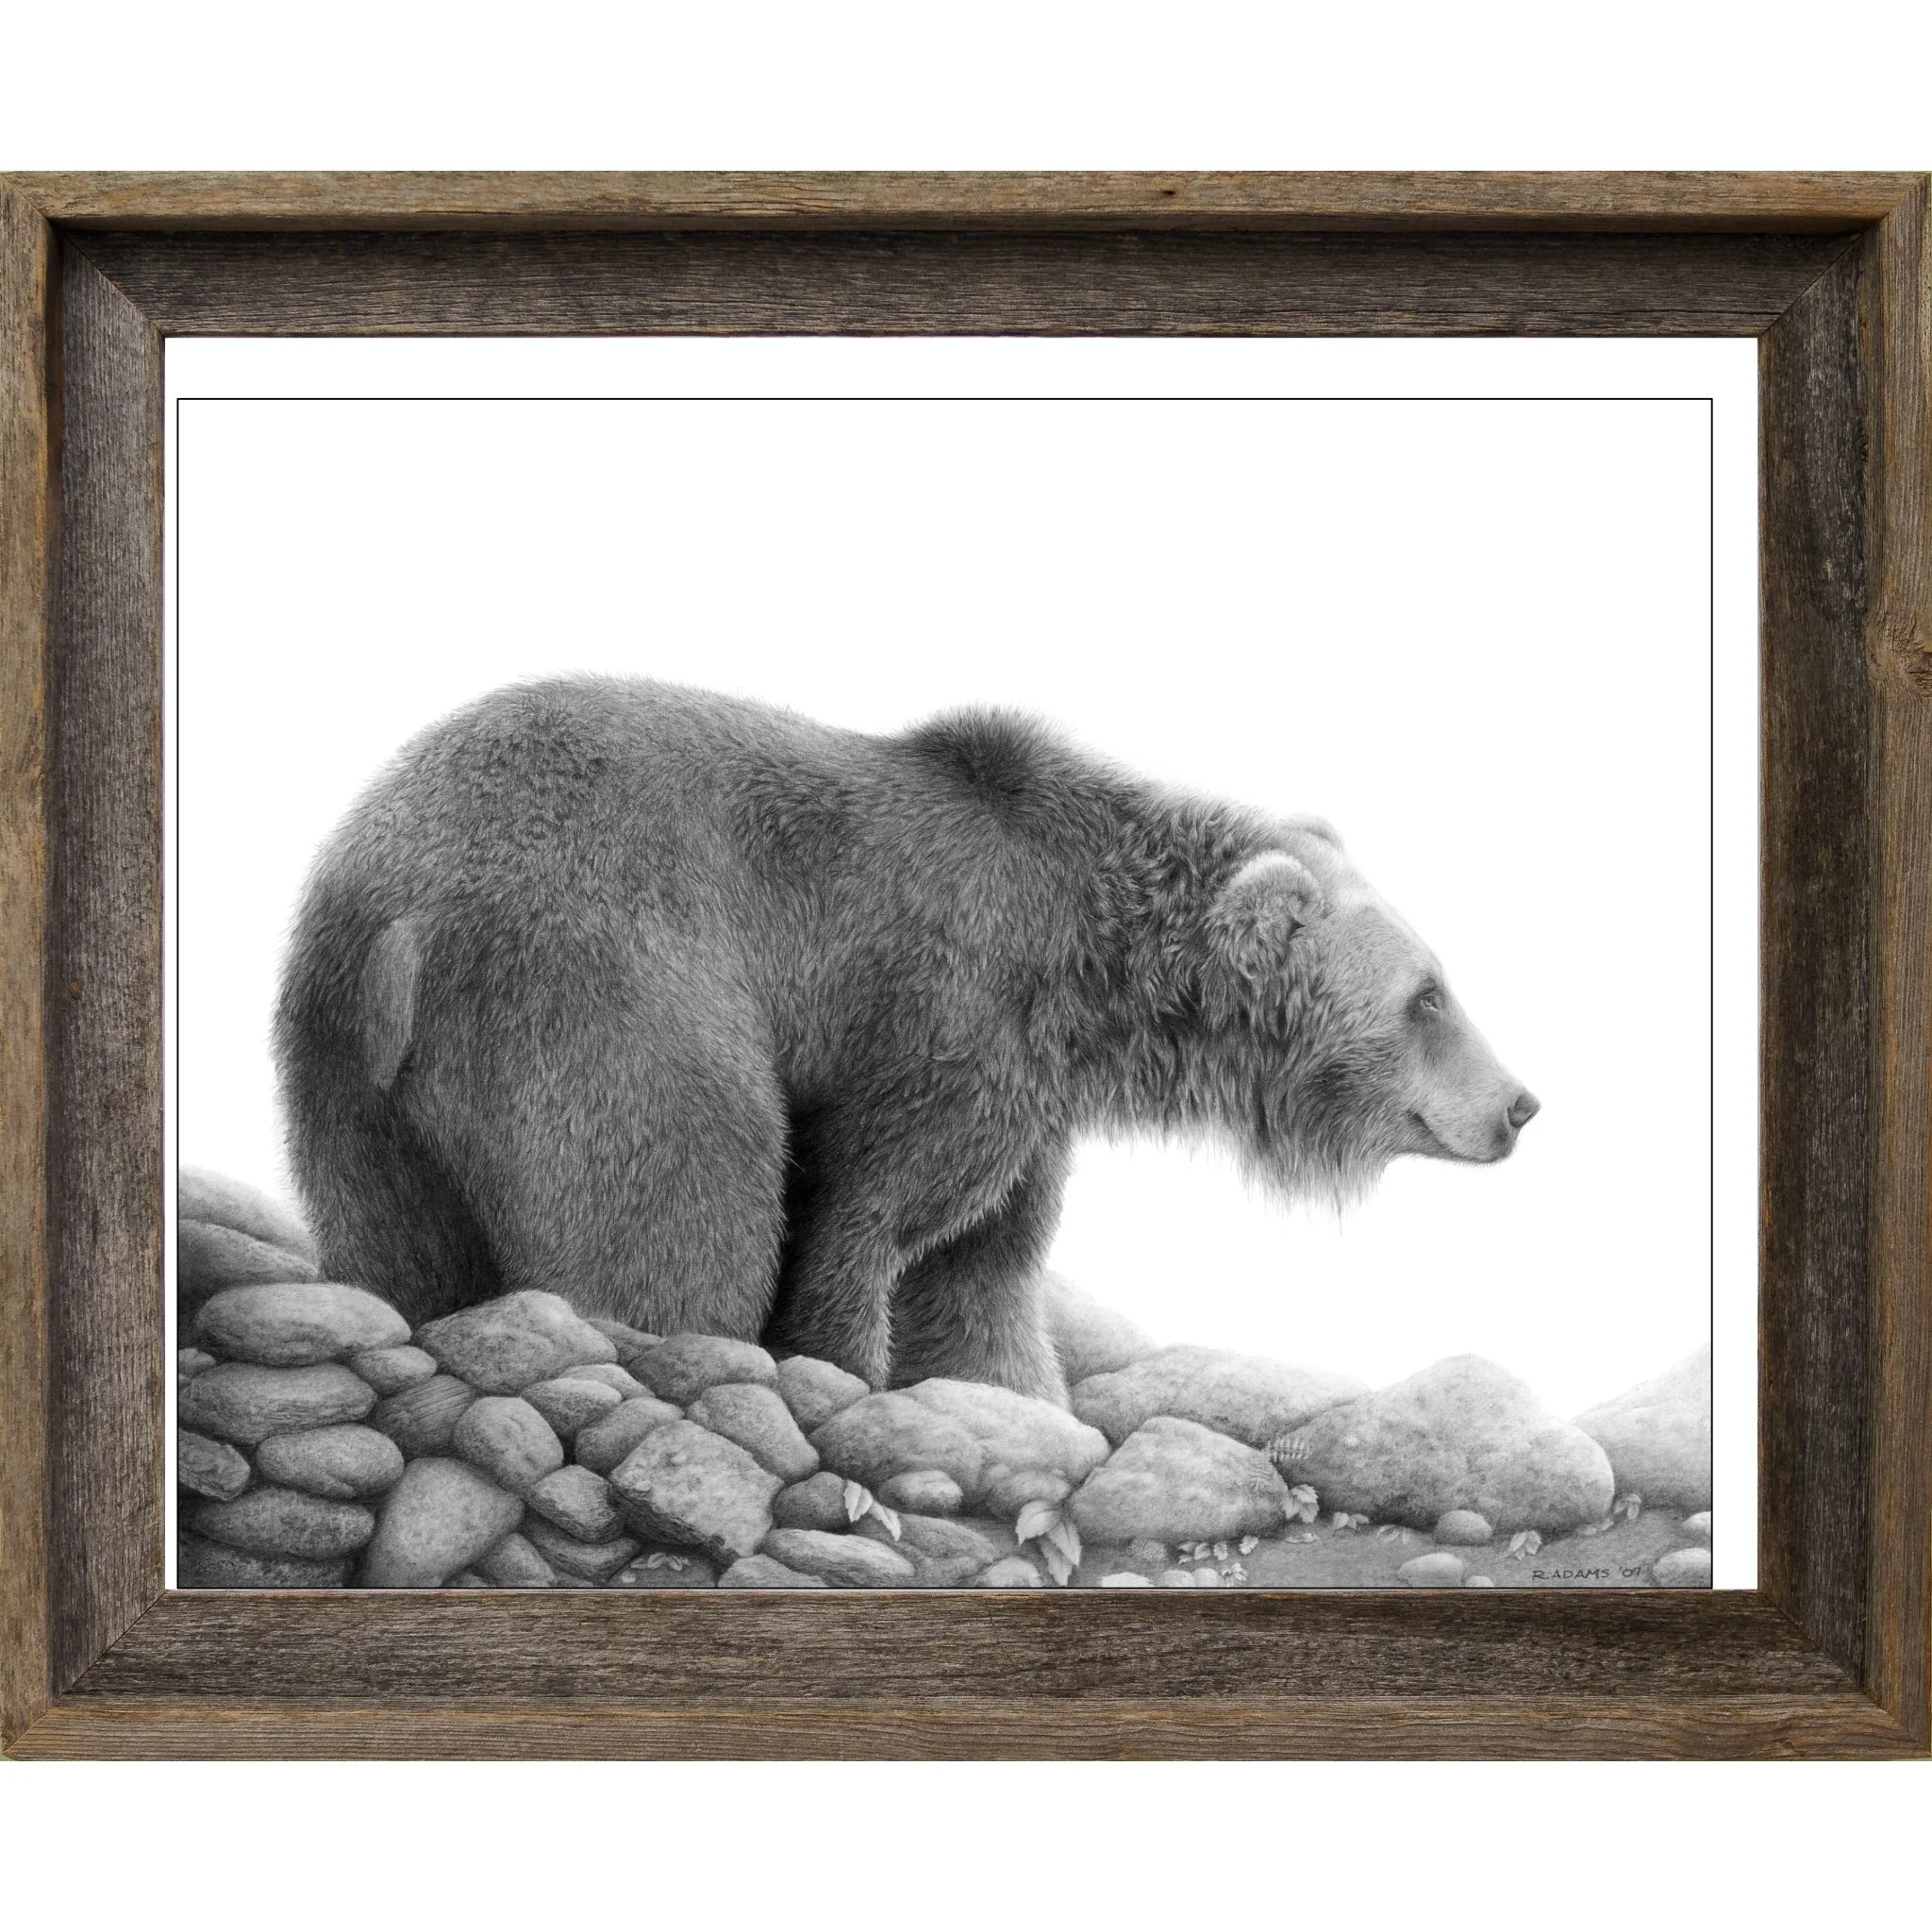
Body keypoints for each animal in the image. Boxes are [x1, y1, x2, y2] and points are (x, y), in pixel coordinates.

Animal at [274, 676, 1538, 1406]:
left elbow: (975, 1270)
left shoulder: (1030, 1103)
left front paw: (1010, 1396)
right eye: (1426, 993)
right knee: (681, 1206)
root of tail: (398, 917)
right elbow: (869, 1217)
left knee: (395, 1239)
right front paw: (840, 1371)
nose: (1520, 1103)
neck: (1086, 971)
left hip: (343, 1070)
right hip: (606, 991)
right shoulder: (945, 1020)